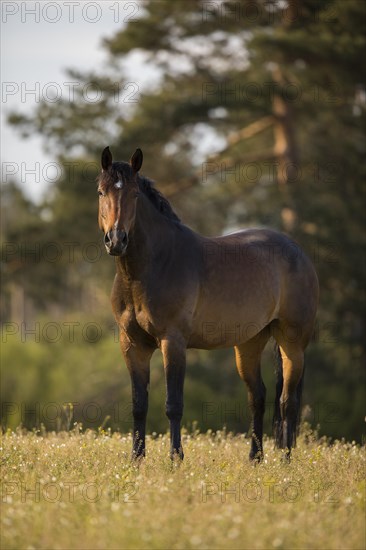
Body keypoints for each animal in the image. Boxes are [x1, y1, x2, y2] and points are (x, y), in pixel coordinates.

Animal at [96, 147, 318, 462]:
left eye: (134, 194)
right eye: (101, 192)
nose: (116, 240)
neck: (150, 267)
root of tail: (298, 251)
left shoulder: (173, 342)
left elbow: (173, 405)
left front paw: (175, 459)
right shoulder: (132, 345)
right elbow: (139, 405)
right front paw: (136, 460)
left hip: (292, 342)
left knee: (288, 400)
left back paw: (285, 461)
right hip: (249, 343)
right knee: (258, 397)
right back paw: (255, 459)